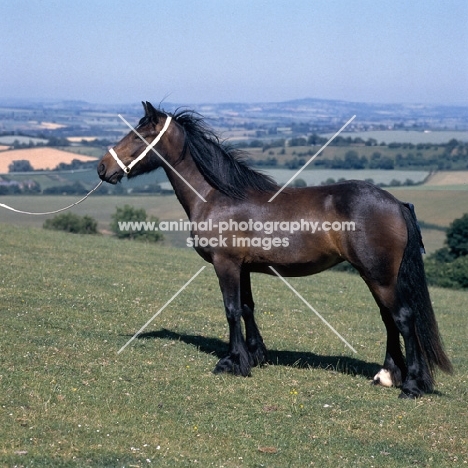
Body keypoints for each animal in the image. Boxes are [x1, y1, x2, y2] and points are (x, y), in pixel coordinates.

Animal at [97, 102, 452, 398]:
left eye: (139, 134)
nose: (102, 167)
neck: (216, 195)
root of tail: (397, 203)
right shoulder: (243, 267)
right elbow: (247, 307)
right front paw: (255, 355)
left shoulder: (225, 264)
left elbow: (231, 310)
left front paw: (232, 363)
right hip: (376, 276)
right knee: (389, 319)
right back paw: (387, 375)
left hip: (380, 276)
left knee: (403, 318)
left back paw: (411, 385)